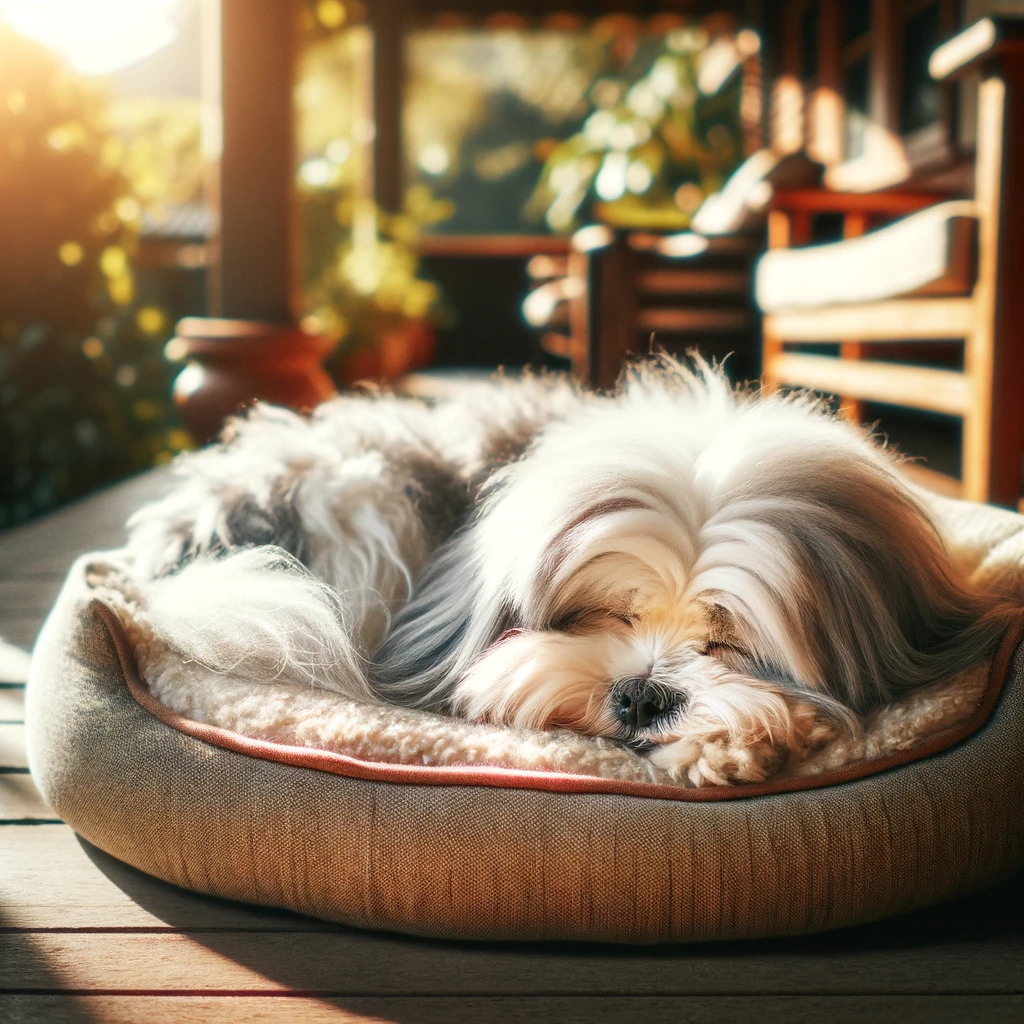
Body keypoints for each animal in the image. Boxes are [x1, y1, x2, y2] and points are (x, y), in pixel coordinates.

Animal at [123, 360, 1011, 782]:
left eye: (733, 642)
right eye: (599, 613)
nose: (643, 694)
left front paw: (724, 741)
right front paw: (728, 748)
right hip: (368, 504)